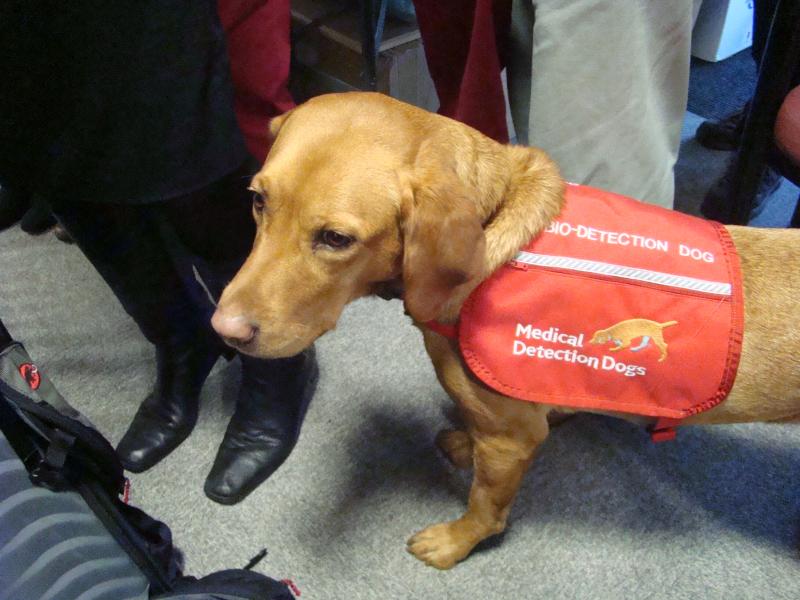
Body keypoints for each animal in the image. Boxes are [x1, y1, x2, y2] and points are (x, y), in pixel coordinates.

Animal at [211, 92, 800, 569]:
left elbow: (485, 506)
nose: (223, 329)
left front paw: (456, 542)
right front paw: (465, 442)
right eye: (258, 200)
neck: (496, 216)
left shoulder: (512, 438)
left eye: (335, 238)